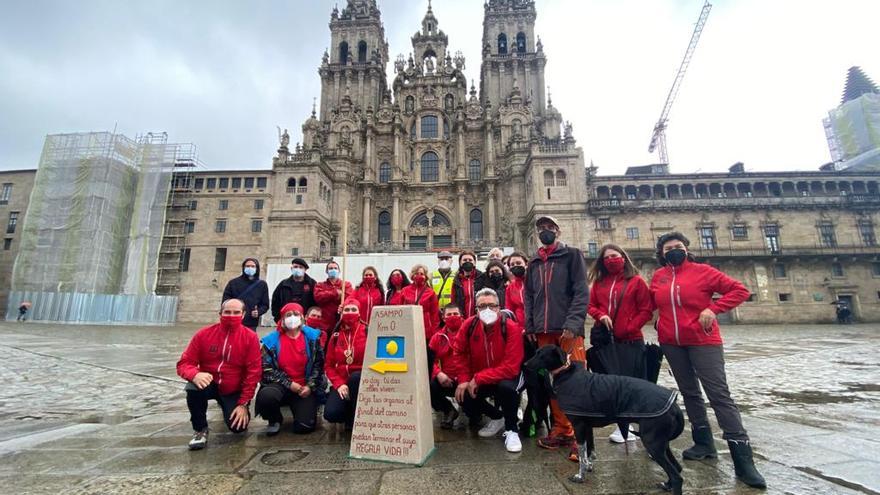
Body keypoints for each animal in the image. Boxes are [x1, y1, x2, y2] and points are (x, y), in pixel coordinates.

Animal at [524, 346, 688, 494]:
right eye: (536, 352)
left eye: (542, 355)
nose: (525, 365)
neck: (566, 373)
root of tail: (675, 407)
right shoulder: (587, 426)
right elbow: (589, 450)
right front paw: (589, 466)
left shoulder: (578, 425)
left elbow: (582, 454)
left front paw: (580, 476)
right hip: (661, 443)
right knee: (677, 468)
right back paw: (667, 485)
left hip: (652, 443)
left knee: (677, 476)